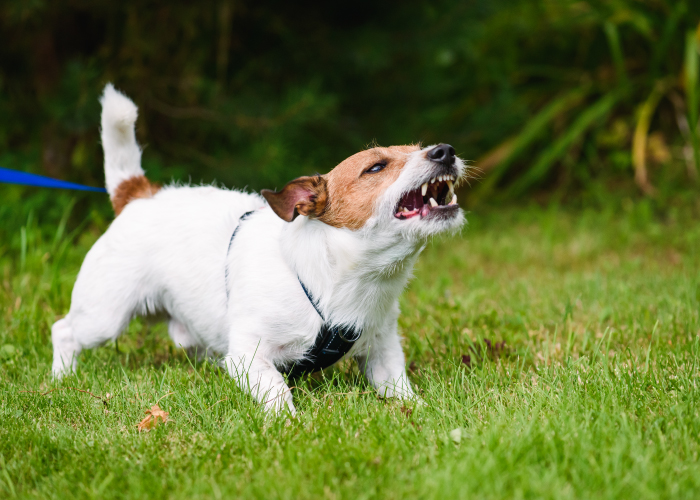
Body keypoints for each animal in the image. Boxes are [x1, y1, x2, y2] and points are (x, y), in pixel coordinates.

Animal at [52, 84, 468, 414]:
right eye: (376, 167)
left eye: (420, 148)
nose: (445, 151)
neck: (339, 278)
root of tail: (139, 195)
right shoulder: (247, 356)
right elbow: (277, 390)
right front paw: (288, 423)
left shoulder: (383, 350)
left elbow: (398, 386)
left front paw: (419, 412)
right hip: (104, 315)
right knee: (64, 330)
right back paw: (61, 378)